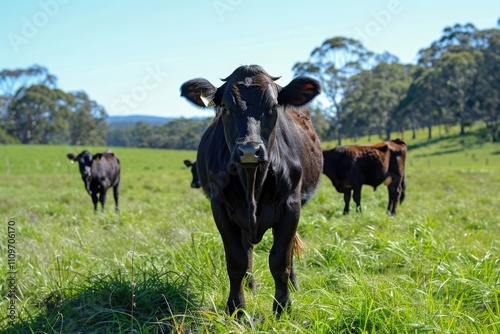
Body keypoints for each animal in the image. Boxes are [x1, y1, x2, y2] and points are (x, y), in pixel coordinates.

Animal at [182, 64, 322, 318]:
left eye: (273, 106)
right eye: (225, 107)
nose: (249, 151)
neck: (253, 181)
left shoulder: (291, 207)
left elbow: (280, 261)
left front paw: (282, 308)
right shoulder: (220, 209)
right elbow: (236, 260)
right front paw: (236, 308)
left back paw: (294, 285)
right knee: (246, 249)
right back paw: (251, 285)